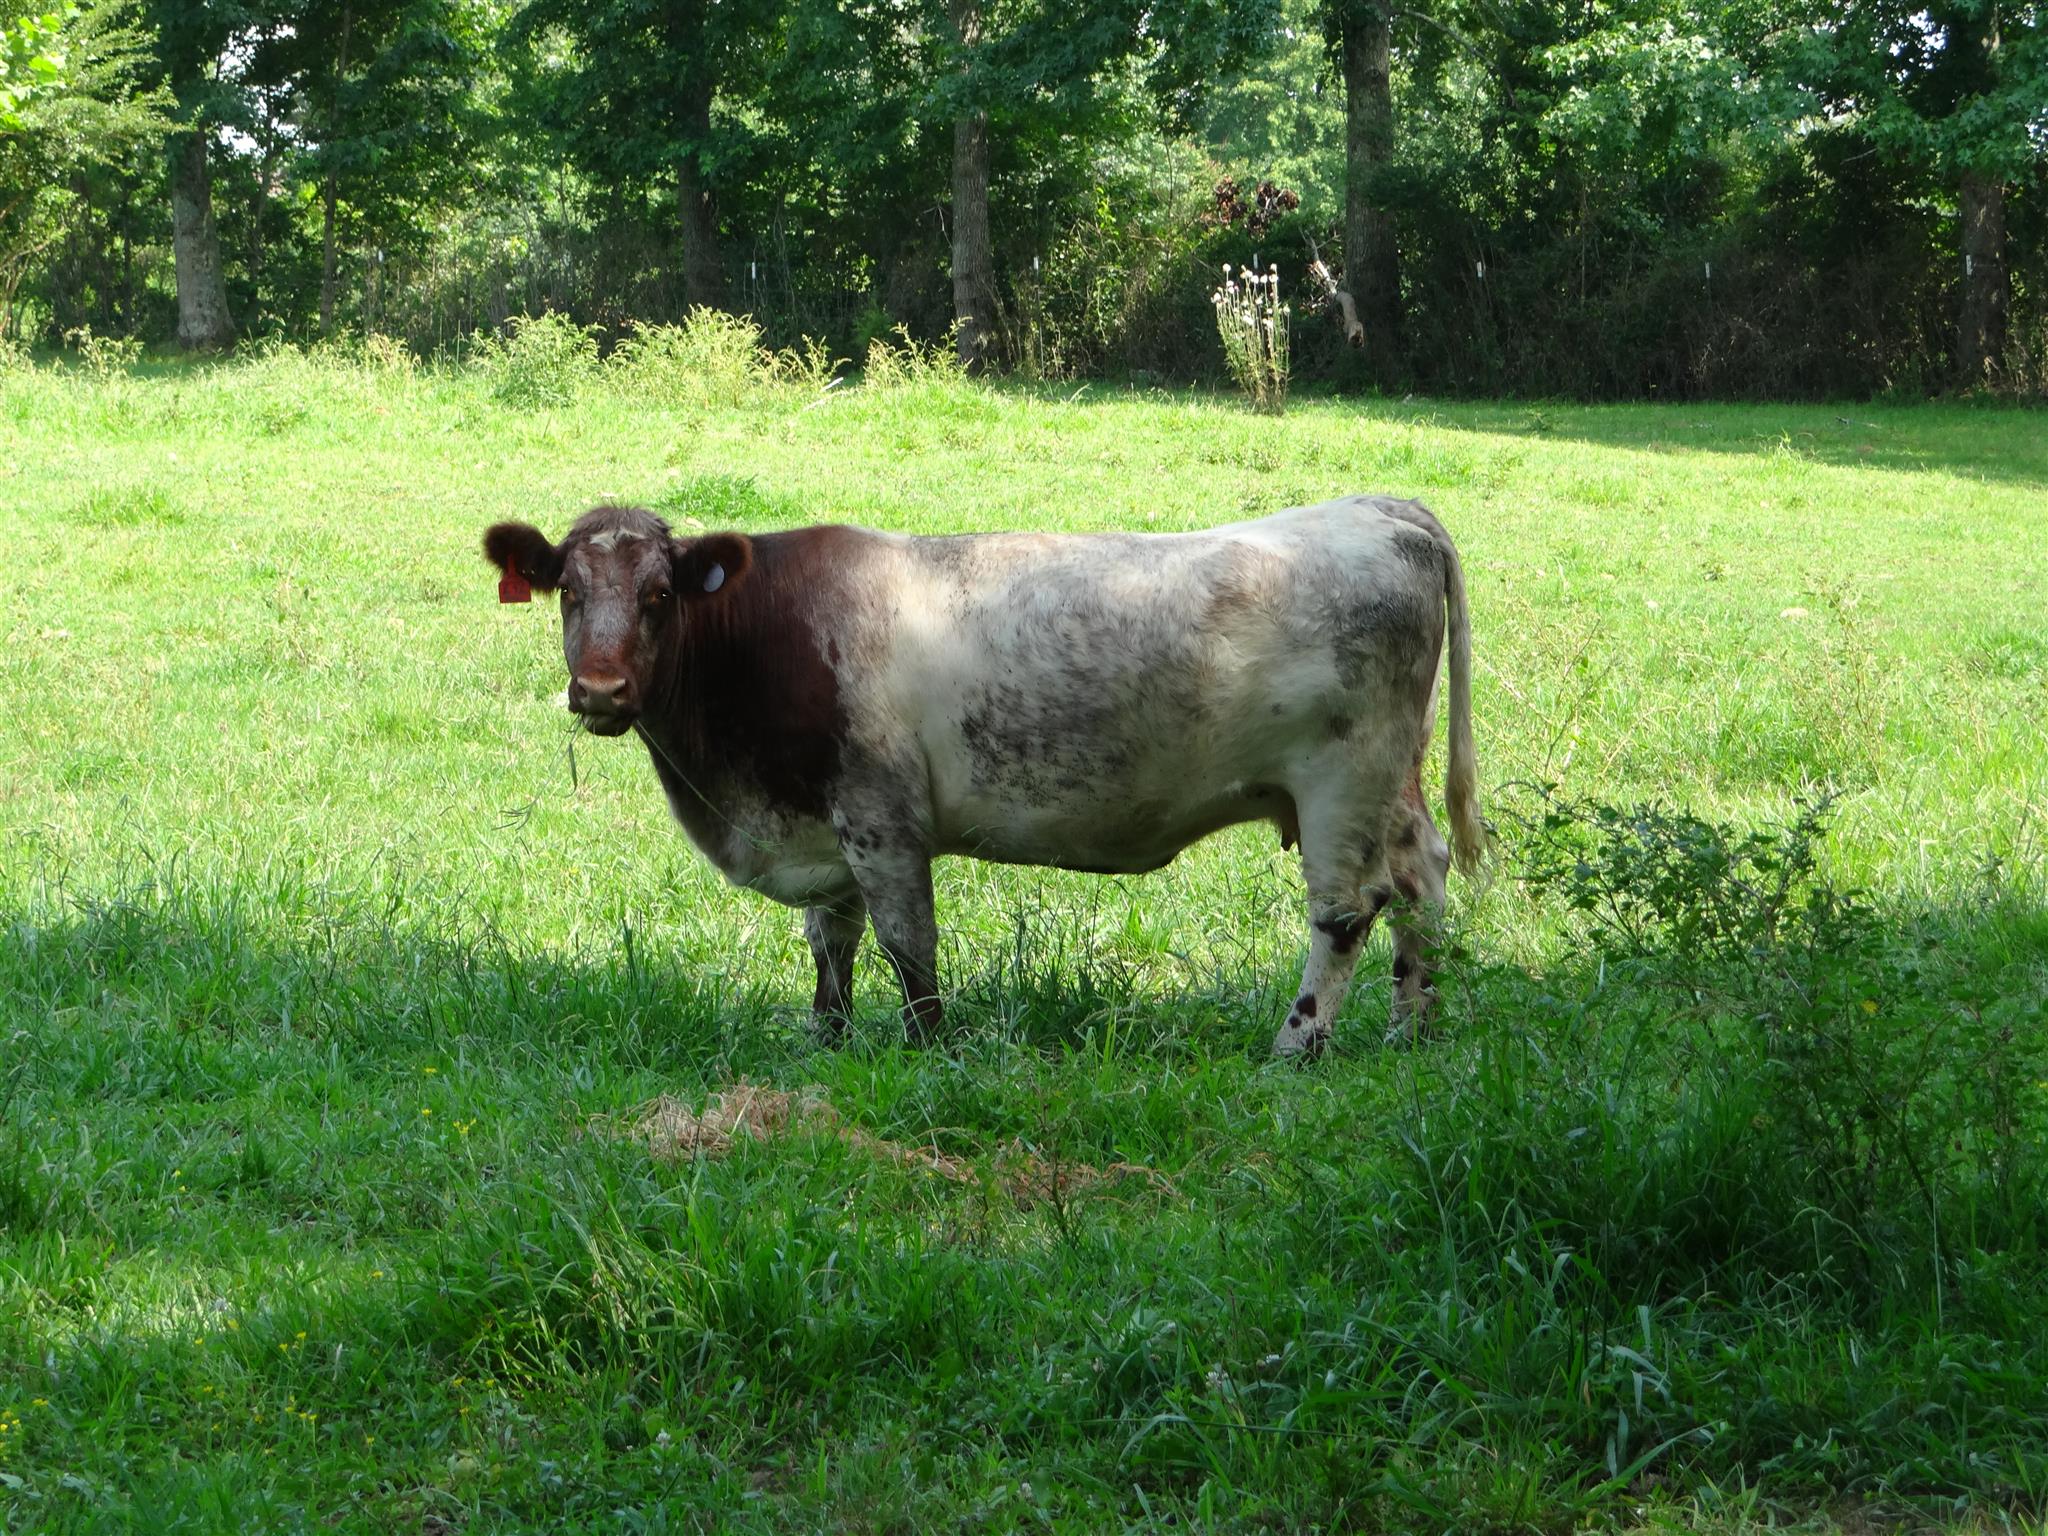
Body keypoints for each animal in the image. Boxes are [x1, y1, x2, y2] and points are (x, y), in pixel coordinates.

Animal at [483, 495, 1485, 1056]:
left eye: (658, 595)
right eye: (569, 591)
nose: (599, 690)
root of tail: (1383, 510)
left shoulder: (881, 820)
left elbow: (906, 945)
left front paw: (929, 1049)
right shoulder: (822, 831)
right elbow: (832, 947)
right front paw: (828, 1043)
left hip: (1340, 782)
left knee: (1347, 913)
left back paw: (1295, 1046)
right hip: (1392, 783)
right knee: (1421, 879)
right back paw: (1414, 1028)